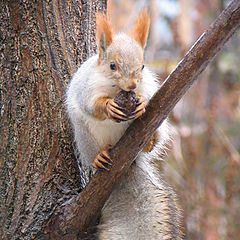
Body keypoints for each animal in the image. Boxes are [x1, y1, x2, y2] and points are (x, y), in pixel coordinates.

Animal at [65, 8, 182, 239]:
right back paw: (100, 156)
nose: (132, 85)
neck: (115, 89)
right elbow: (91, 105)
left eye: (143, 66)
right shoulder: (86, 88)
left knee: (154, 140)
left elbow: (148, 95)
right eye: (113, 65)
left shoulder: (148, 84)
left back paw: (149, 142)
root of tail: (128, 163)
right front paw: (108, 106)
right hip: (84, 136)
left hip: (160, 126)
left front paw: (142, 102)